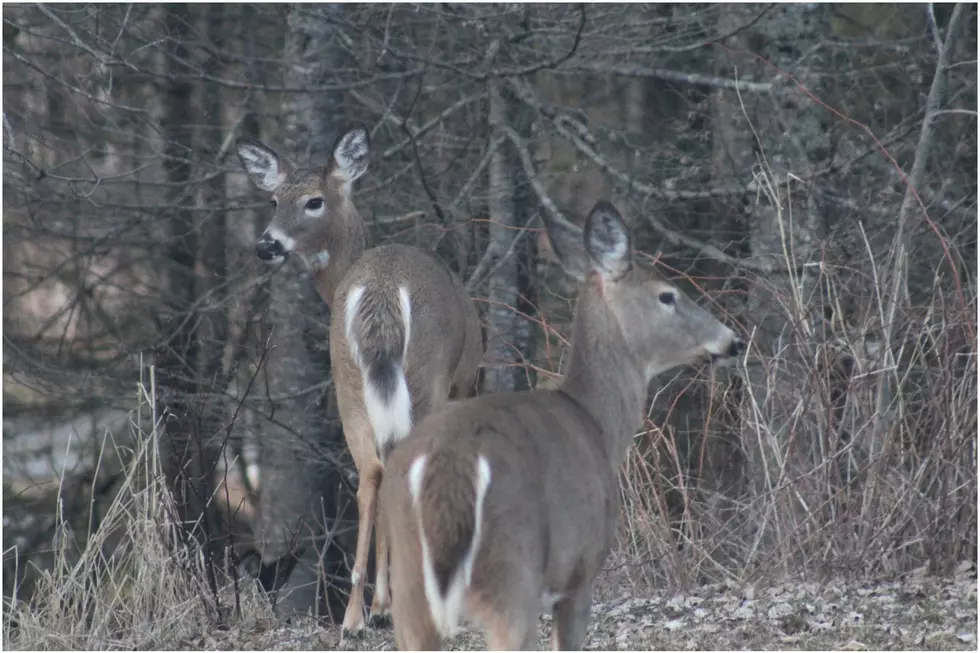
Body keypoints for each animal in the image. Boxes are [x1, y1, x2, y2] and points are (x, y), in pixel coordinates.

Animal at [235, 126, 484, 632]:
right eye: (274, 200)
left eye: (312, 201)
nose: (267, 245)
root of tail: (382, 292)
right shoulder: (462, 380)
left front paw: (380, 606)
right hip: (425, 377)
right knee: (400, 466)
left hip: (347, 379)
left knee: (371, 473)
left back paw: (354, 616)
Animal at [378, 201, 744, 648]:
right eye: (667, 295)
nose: (731, 341)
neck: (596, 423)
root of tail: (447, 466)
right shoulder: (580, 572)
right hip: (511, 571)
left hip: (409, 578)